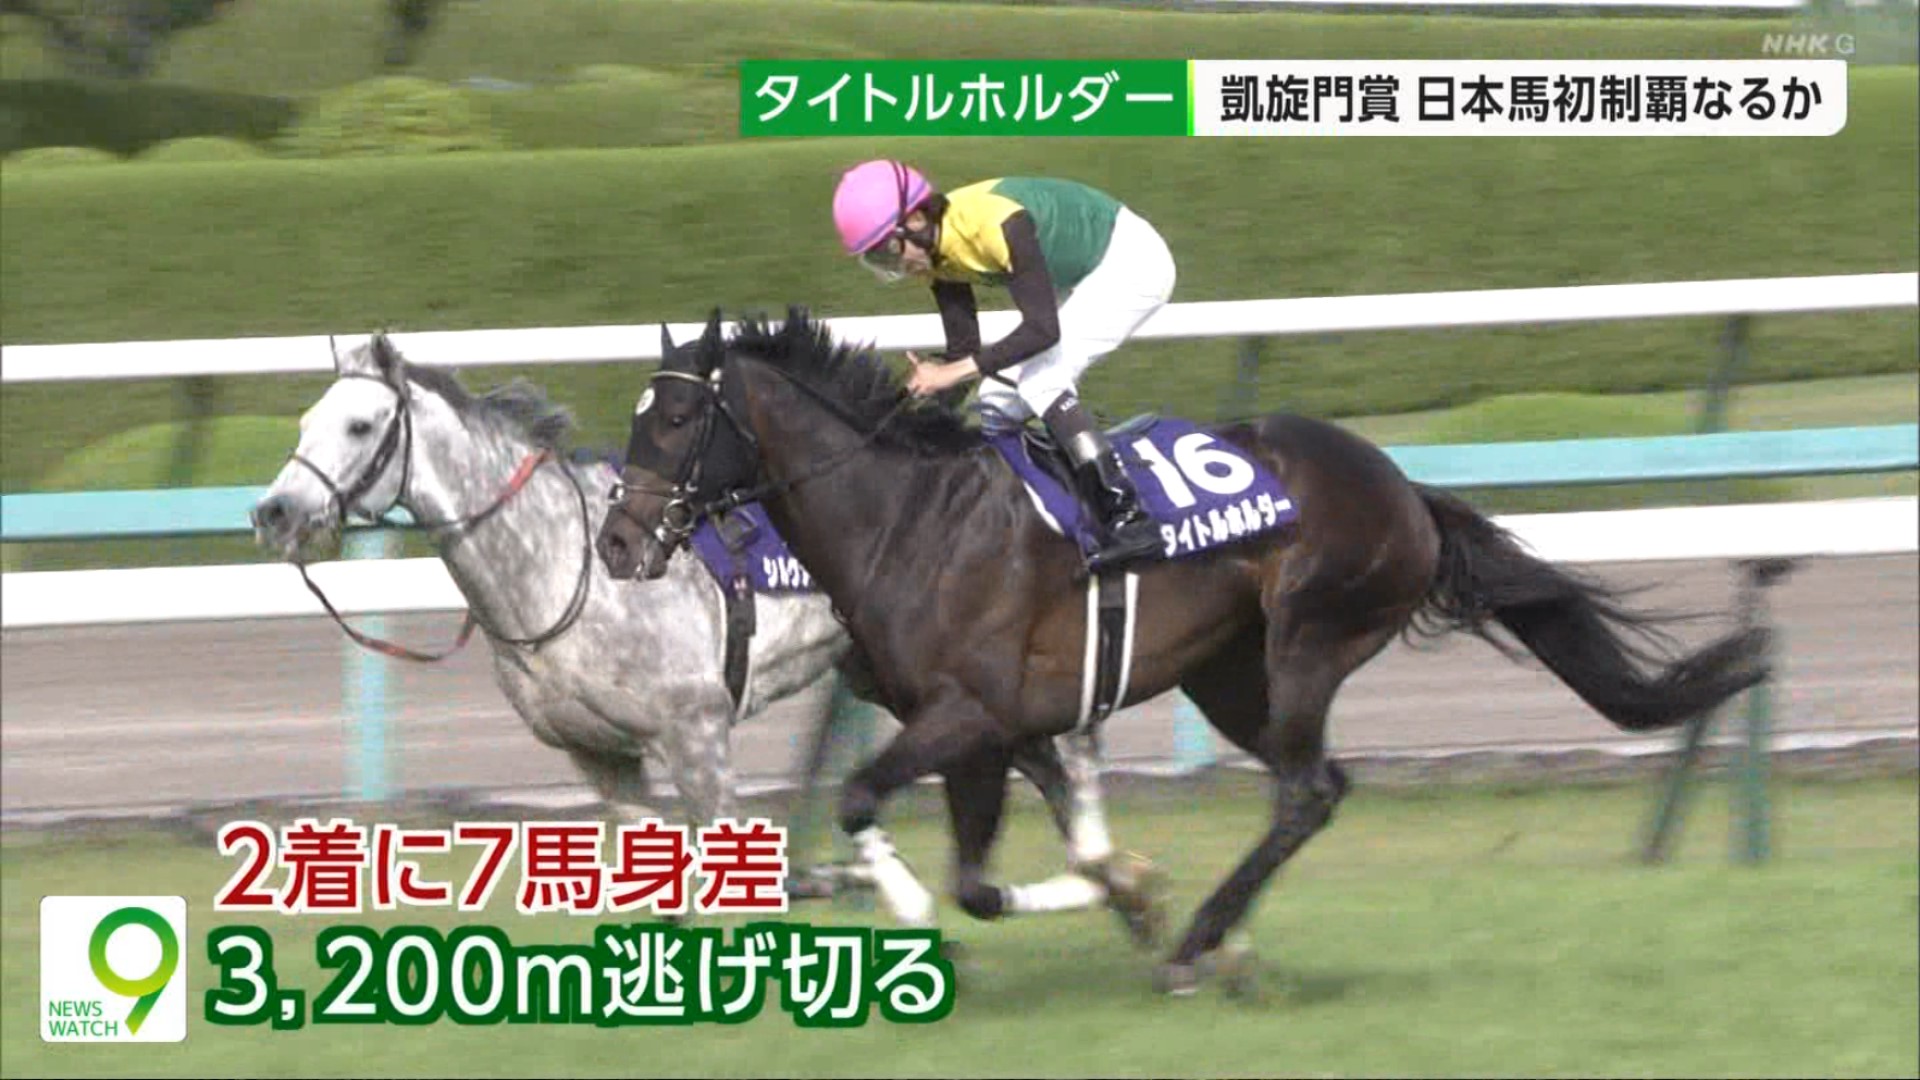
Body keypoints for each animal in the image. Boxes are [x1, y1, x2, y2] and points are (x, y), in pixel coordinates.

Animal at [248, 330, 1158, 934]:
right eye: (303, 422)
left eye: (359, 426)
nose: (275, 512)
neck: (566, 569)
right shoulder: (599, 755)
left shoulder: (696, 730)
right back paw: (1118, 889)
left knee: (1069, 763)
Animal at [593, 306, 1775, 995]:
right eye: (639, 418)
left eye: (676, 422)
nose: (616, 540)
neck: (909, 516)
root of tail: (1405, 489)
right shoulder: (986, 730)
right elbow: (982, 877)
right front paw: (1123, 892)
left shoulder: (968, 712)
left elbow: (859, 801)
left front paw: (923, 909)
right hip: (1230, 672)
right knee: (1317, 787)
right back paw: (1205, 939)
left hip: (1310, 637)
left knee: (1306, 791)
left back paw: (1198, 947)